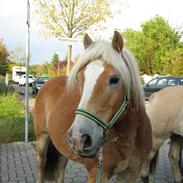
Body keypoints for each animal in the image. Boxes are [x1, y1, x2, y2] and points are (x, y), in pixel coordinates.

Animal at [33, 30, 152, 182]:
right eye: (79, 79)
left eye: (115, 79)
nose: (79, 138)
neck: (129, 137)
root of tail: (47, 83)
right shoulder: (97, 173)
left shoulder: (132, 173)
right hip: (42, 140)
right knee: (41, 167)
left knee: (60, 168)